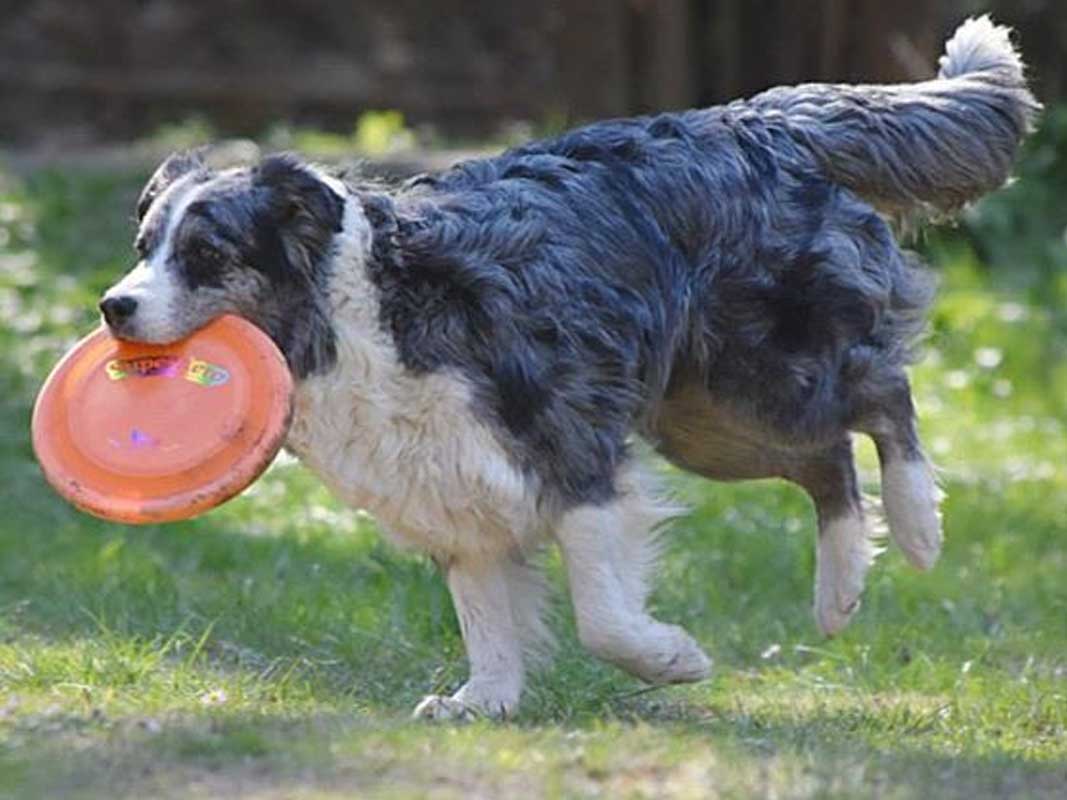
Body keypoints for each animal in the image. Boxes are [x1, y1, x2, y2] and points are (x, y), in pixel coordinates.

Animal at [98, 17, 1032, 721]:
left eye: (206, 254)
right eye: (144, 245)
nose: (113, 308)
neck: (357, 311)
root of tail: (761, 118)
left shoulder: (572, 444)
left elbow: (601, 618)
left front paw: (669, 659)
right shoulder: (444, 475)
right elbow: (485, 611)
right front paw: (482, 702)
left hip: (766, 371)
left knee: (883, 396)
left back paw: (916, 526)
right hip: (706, 421)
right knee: (828, 461)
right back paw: (838, 593)